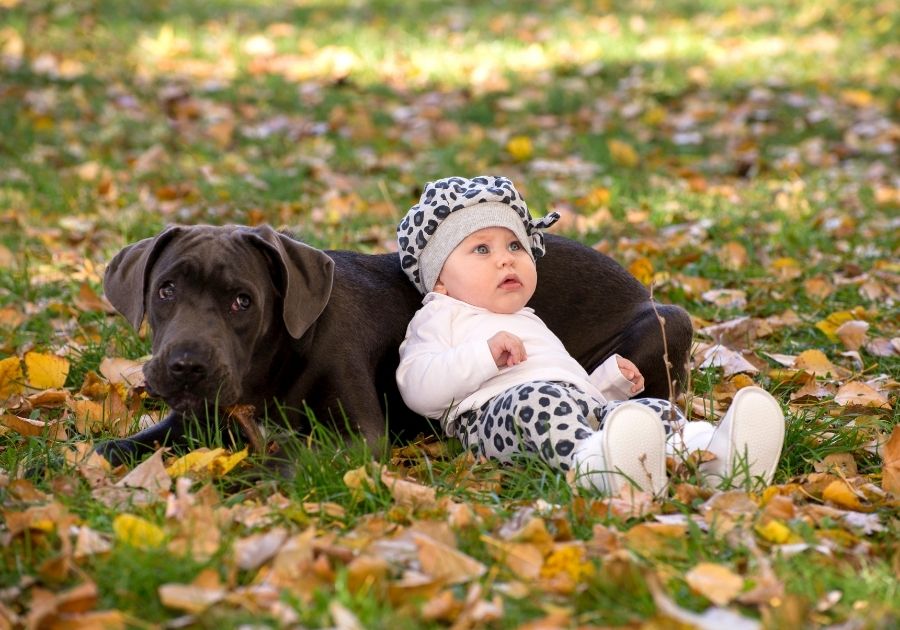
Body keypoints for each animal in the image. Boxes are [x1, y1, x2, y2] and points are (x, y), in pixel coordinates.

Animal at [98, 225, 688, 466]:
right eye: (166, 290)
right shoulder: (191, 419)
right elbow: (119, 446)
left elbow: (288, 454)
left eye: (242, 301)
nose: (186, 365)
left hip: (669, 320)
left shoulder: (359, 434)